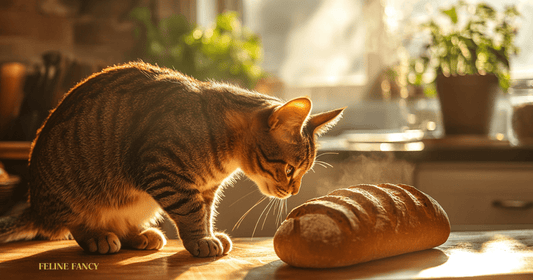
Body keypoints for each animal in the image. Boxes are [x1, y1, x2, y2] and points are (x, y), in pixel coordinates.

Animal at [0, 61, 342, 258]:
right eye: (290, 169)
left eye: (303, 171)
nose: (295, 191)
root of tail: (35, 206)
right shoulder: (163, 171)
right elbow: (191, 213)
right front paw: (201, 241)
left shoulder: (205, 189)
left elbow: (205, 212)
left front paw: (208, 234)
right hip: (73, 195)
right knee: (76, 226)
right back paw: (98, 237)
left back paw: (140, 235)